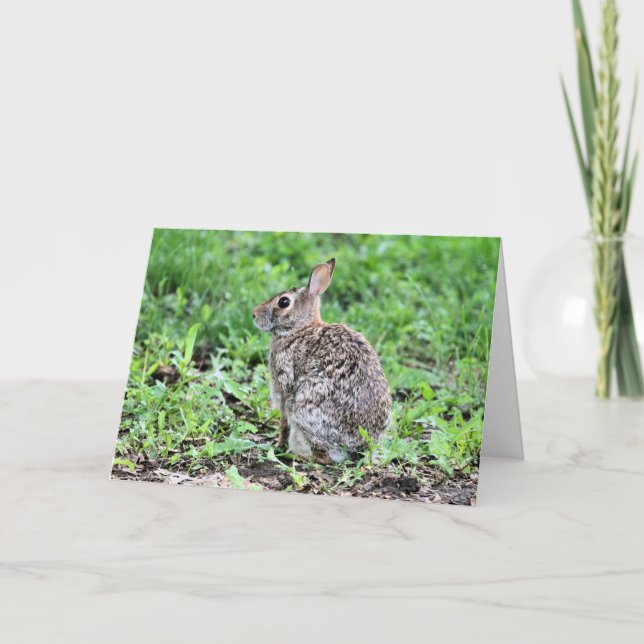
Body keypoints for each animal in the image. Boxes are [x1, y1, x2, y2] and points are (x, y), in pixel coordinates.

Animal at [252, 258, 392, 464]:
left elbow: (284, 421)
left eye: (284, 302)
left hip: (305, 405)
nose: (254, 314)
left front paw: (277, 443)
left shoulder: (284, 387)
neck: (300, 329)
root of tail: (360, 443)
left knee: (323, 455)